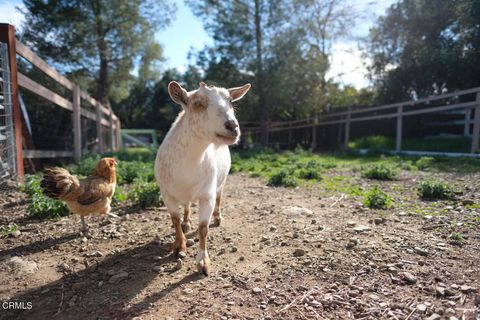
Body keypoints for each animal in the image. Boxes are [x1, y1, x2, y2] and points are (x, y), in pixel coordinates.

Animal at [155, 80, 251, 276]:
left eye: (230, 101)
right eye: (197, 104)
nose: (232, 126)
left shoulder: (207, 195)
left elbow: (203, 228)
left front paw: (203, 261)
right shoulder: (167, 195)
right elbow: (174, 220)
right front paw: (179, 246)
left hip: (221, 181)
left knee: (219, 197)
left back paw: (218, 217)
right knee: (186, 205)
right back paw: (186, 223)